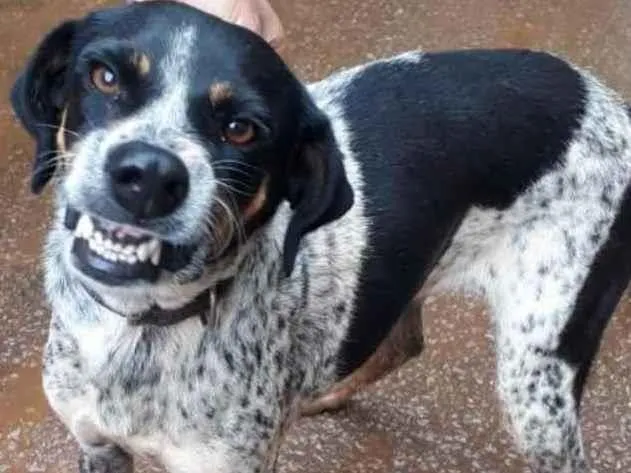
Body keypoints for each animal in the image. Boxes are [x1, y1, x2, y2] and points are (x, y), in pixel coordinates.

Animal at [8, 1, 631, 470]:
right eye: (105, 77)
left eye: (241, 129)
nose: (149, 177)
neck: (141, 331)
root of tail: (609, 103)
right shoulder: (97, 446)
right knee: (402, 339)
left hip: (538, 383)